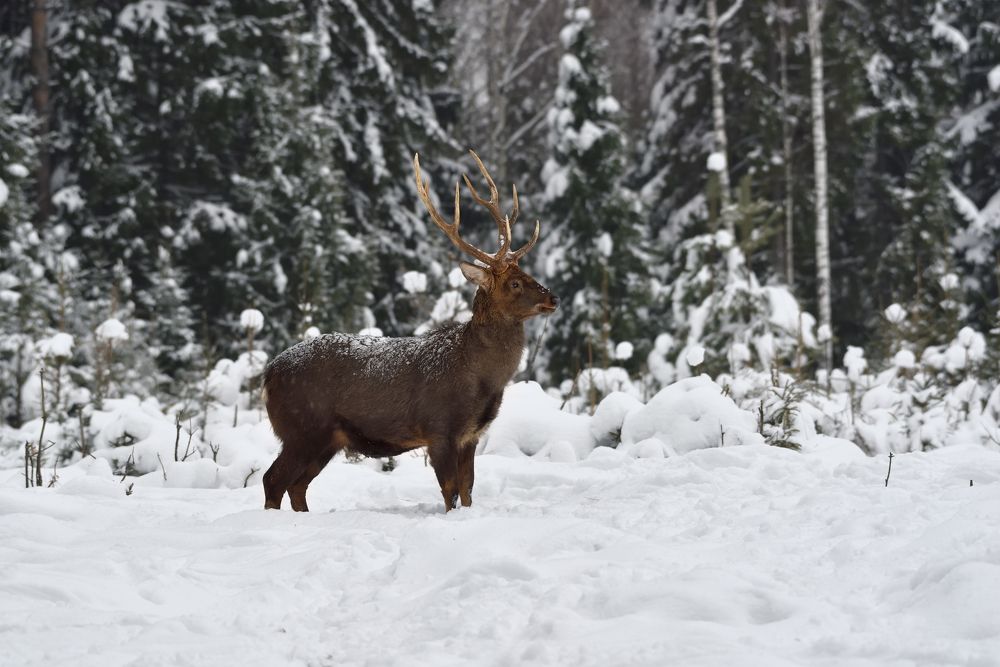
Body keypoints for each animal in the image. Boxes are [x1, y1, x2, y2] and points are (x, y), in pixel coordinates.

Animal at [261, 150, 558, 513]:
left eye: (528, 273)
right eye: (514, 283)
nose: (553, 298)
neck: (481, 378)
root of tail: (269, 374)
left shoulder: (471, 434)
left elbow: (468, 490)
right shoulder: (439, 428)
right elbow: (450, 491)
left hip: (325, 437)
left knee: (297, 485)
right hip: (302, 426)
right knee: (273, 480)